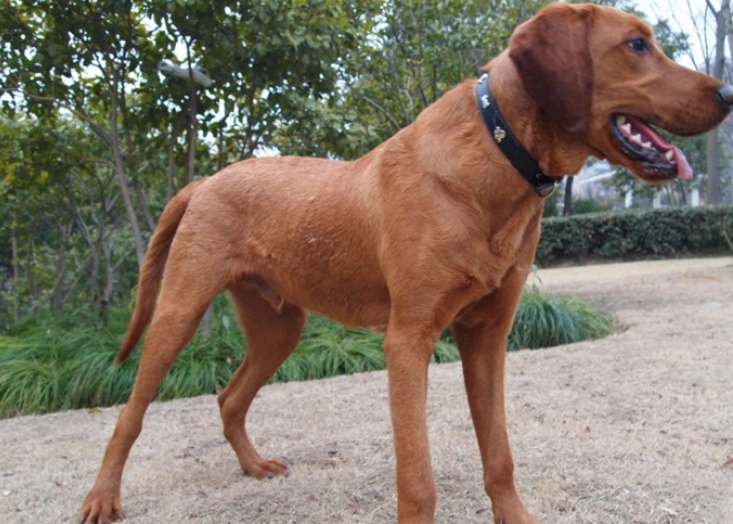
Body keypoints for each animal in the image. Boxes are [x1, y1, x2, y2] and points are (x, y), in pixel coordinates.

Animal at [80, 4, 732, 524]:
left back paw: (253, 465)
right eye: (637, 45)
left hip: (279, 327)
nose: (728, 94)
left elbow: (500, 455)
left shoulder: (487, 337)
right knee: (129, 415)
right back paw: (102, 499)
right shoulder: (408, 340)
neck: (499, 153)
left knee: (229, 398)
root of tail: (207, 180)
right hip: (178, 313)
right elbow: (418, 480)